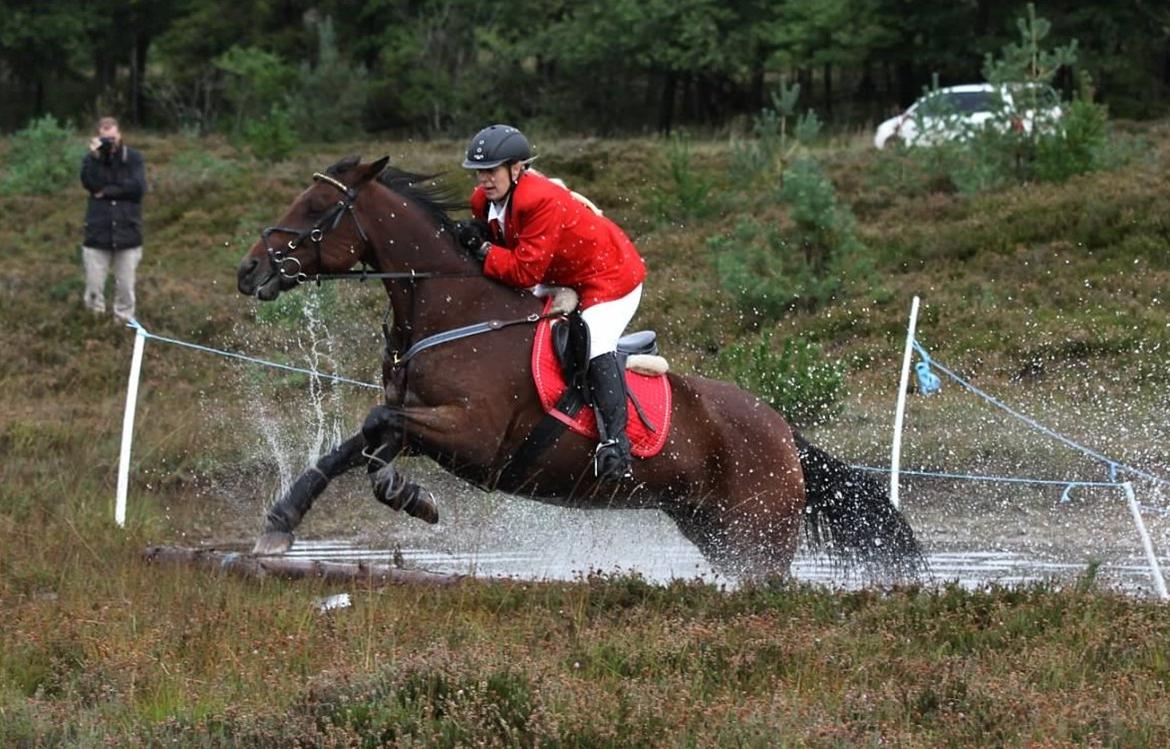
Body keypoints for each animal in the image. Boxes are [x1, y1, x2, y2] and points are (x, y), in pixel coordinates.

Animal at [232, 154, 917, 582]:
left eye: (314, 207)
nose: (249, 270)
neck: (451, 310)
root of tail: (785, 434)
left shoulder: (475, 436)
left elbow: (380, 426)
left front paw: (408, 495)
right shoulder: (424, 418)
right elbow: (362, 439)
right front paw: (284, 522)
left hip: (758, 535)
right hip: (715, 530)